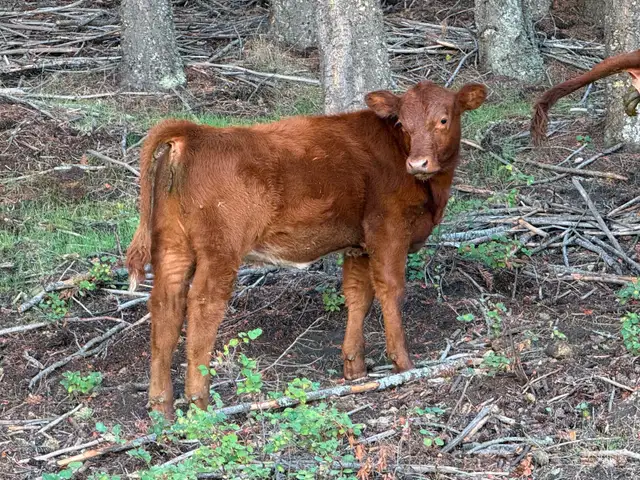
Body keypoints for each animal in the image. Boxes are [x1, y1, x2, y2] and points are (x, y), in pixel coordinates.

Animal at [126, 80, 487, 418]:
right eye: (402, 123)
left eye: (443, 119)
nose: (418, 163)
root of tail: (195, 132)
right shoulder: (388, 229)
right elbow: (391, 289)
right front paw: (404, 363)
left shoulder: (357, 244)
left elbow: (358, 294)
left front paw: (354, 368)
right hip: (221, 250)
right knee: (203, 306)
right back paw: (200, 404)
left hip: (173, 246)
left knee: (165, 307)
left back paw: (161, 407)